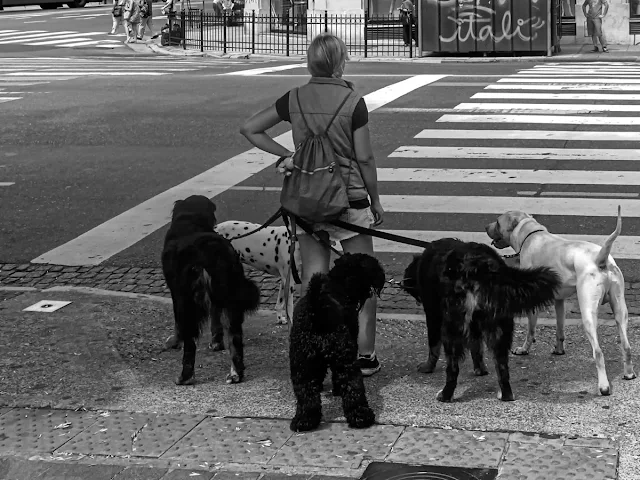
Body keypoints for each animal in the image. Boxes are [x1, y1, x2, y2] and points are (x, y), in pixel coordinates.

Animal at [162, 195, 260, 386]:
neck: (191, 220)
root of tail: (212, 250)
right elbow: (216, 319)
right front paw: (216, 342)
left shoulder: (177, 294)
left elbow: (178, 324)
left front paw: (175, 341)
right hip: (231, 300)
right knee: (235, 340)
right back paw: (235, 374)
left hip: (189, 302)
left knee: (190, 346)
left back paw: (184, 377)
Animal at [288, 253, 384, 434]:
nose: (381, 279)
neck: (339, 282)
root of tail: (318, 312)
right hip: (345, 361)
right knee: (352, 388)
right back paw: (361, 416)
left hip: (302, 364)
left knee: (306, 394)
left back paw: (304, 420)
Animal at [404, 239, 560, 402]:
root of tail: (481, 265)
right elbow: (477, 348)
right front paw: (480, 369)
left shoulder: (433, 314)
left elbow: (433, 346)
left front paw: (427, 367)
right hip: (499, 328)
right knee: (502, 368)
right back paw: (506, 394)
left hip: (452, 326)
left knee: (453, 369)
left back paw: (445, 395)